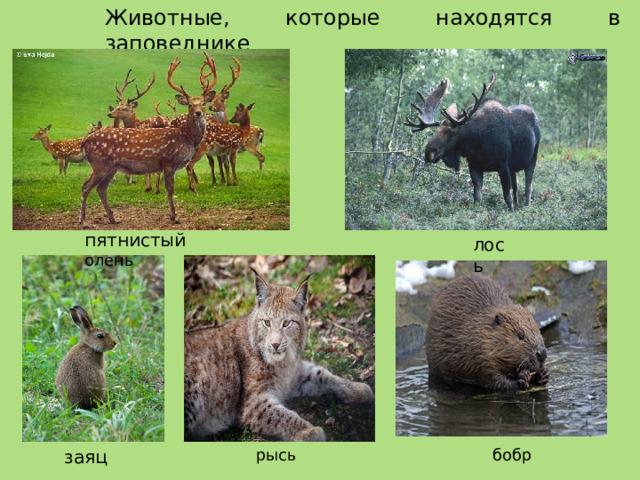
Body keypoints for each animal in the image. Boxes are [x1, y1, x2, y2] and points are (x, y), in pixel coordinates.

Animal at [79, 52, 217, 227]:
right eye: (190, 105)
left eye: (204, 103)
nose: (198, 112)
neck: (187, 138)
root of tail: (84, 142)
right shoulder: (168, 162)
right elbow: (170, 190)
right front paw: (175, 217)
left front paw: (173, 215)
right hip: (100, 164)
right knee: (85, 187)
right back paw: (83, 221)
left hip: (111, 167)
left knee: (101, 189)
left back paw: (113, 218)